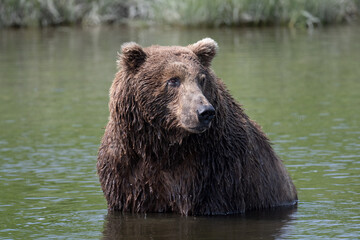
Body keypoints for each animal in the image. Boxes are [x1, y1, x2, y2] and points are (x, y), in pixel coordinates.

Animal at [97, 38, 296, 216]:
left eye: (202, 79)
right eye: (173, 80)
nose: (205, 111)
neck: (163, 146)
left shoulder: (216, 171)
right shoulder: (125, 171)